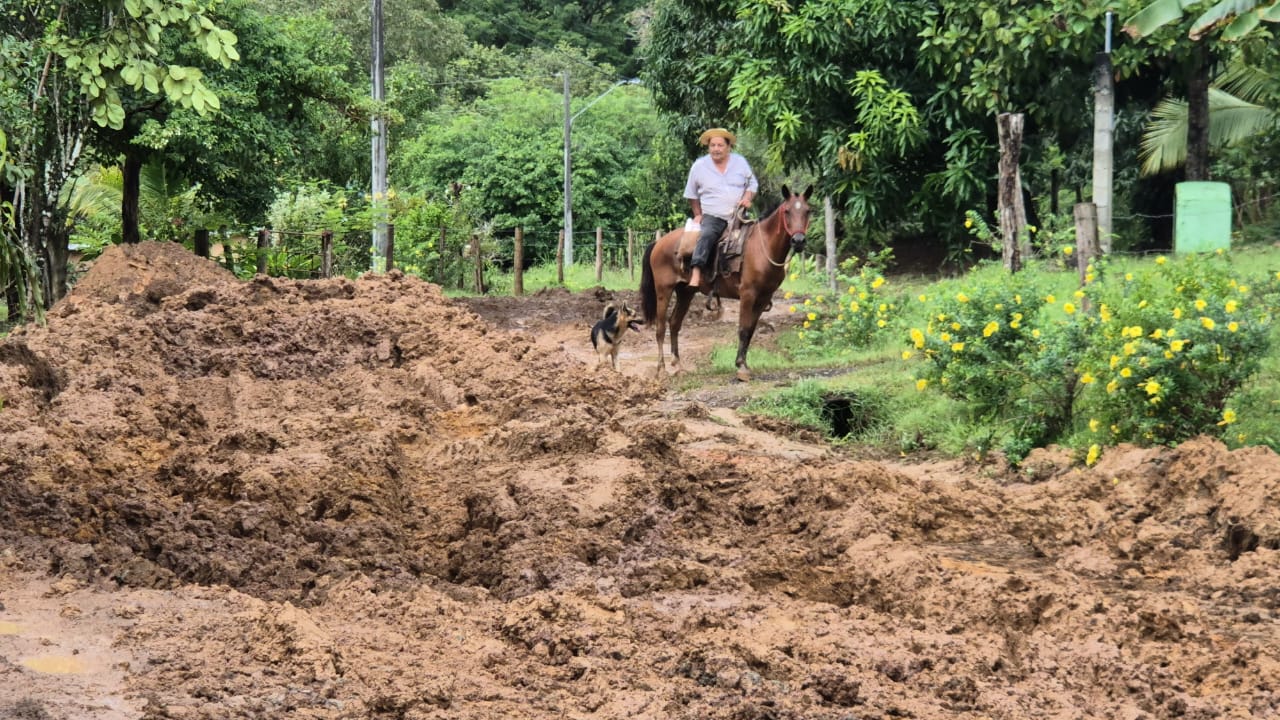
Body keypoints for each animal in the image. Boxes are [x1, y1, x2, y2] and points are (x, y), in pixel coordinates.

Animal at [637, 184, 808, 381]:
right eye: (787, 211)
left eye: (808, 211)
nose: (798, 240)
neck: (762, 247)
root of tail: (658, 243)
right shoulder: (748, 294)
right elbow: (743, 329)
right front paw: (741, 367)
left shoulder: (763, 297)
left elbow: (750, 331)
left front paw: (744, 364)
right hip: (663, 290)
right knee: (660, 327)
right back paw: (661, 369)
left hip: (686, 292)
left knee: (674, 323)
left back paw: (678, 365)